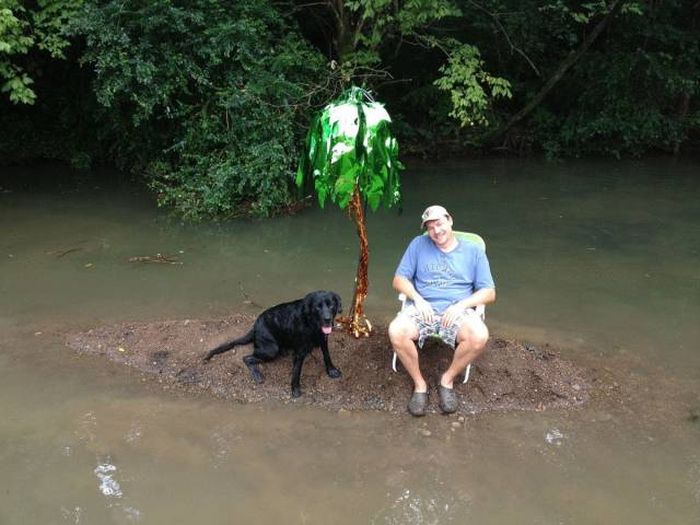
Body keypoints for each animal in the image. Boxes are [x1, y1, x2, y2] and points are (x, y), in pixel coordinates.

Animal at [204, 290, 344, 398]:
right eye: (317, 307)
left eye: (331, 305)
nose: (327, 319)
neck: (312, 325)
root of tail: (254, 327)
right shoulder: (299, 352)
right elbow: (296, 371)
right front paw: (295, 389)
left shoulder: (324, 340)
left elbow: (327, 356)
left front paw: (332, 370)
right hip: (271, 349)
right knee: (247, 358)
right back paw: (257, 375)